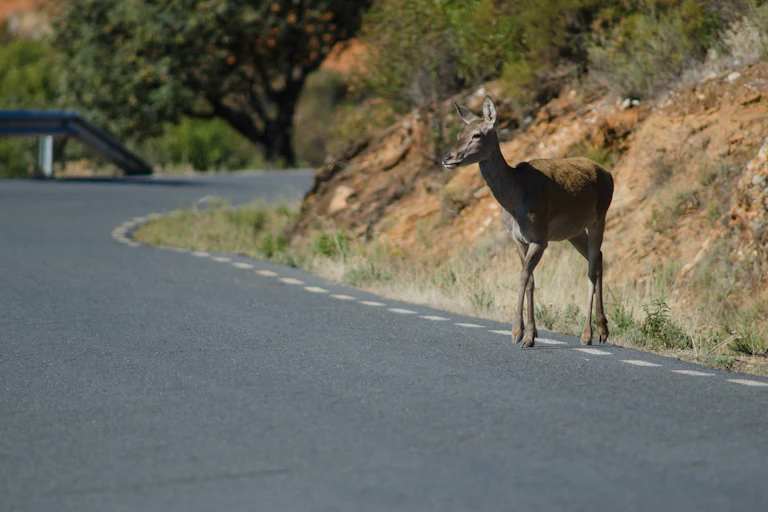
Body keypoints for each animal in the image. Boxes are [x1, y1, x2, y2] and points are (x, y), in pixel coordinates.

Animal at [442, 96, 614, 348]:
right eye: (458, 134)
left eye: (477, 135)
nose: (447, 158)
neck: (514, 204)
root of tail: (610, 174)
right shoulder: (517, 239)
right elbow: (531, 279)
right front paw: (531, 334)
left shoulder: (540, 237)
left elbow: (522, 276)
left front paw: (517, 332)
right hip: (574, 231)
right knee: (599, 258)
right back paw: (603, 329)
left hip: (599, 217)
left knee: (592, 270)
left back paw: (588, 334)